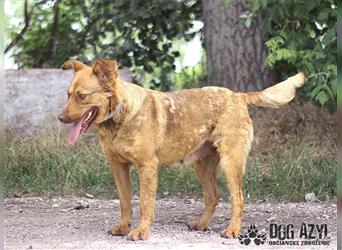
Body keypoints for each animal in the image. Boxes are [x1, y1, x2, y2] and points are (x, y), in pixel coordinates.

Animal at [57, 59, 306, 241]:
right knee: (213, 196)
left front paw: (141, 231)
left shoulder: (147, 167)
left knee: (238, 198)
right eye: (68, 95)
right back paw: (202, 224)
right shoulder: (118, 167)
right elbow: (125, 201)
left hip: (230, 163)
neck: (120, 116)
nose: (60, 118)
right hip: (202, 166)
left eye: (81, 96)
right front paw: (123, 226)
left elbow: (145, 203)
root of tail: (238, 96)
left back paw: (233, 230)